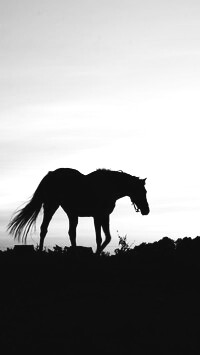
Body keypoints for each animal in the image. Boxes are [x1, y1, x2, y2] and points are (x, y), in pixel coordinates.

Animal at [7, 169, 149, 254]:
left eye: (145, 191)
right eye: (141, 191)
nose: (146, 210)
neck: (108, 186)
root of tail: (50, 174)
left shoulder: (104, 216)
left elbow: (106, 237)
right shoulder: (97, 216)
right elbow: (100, 238)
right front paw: (97, 253)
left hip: (71, 214)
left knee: (71, 233)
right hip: (51, 206)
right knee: (44, 229)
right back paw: (41, 251)